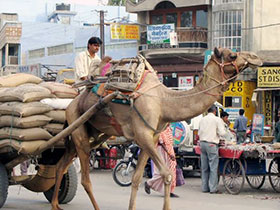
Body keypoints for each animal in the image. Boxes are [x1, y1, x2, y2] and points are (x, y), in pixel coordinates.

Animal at [49, 47, 262, 210]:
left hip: (91, 134)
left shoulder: (149, 138)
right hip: (78, 127)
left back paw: (55, 204)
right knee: (85, 179)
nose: (256, 57)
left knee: (61, 165)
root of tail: (70, 104)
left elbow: (136, 178)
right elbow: (167, 175)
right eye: (232, 55)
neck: (164, 101)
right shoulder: (142, 135)